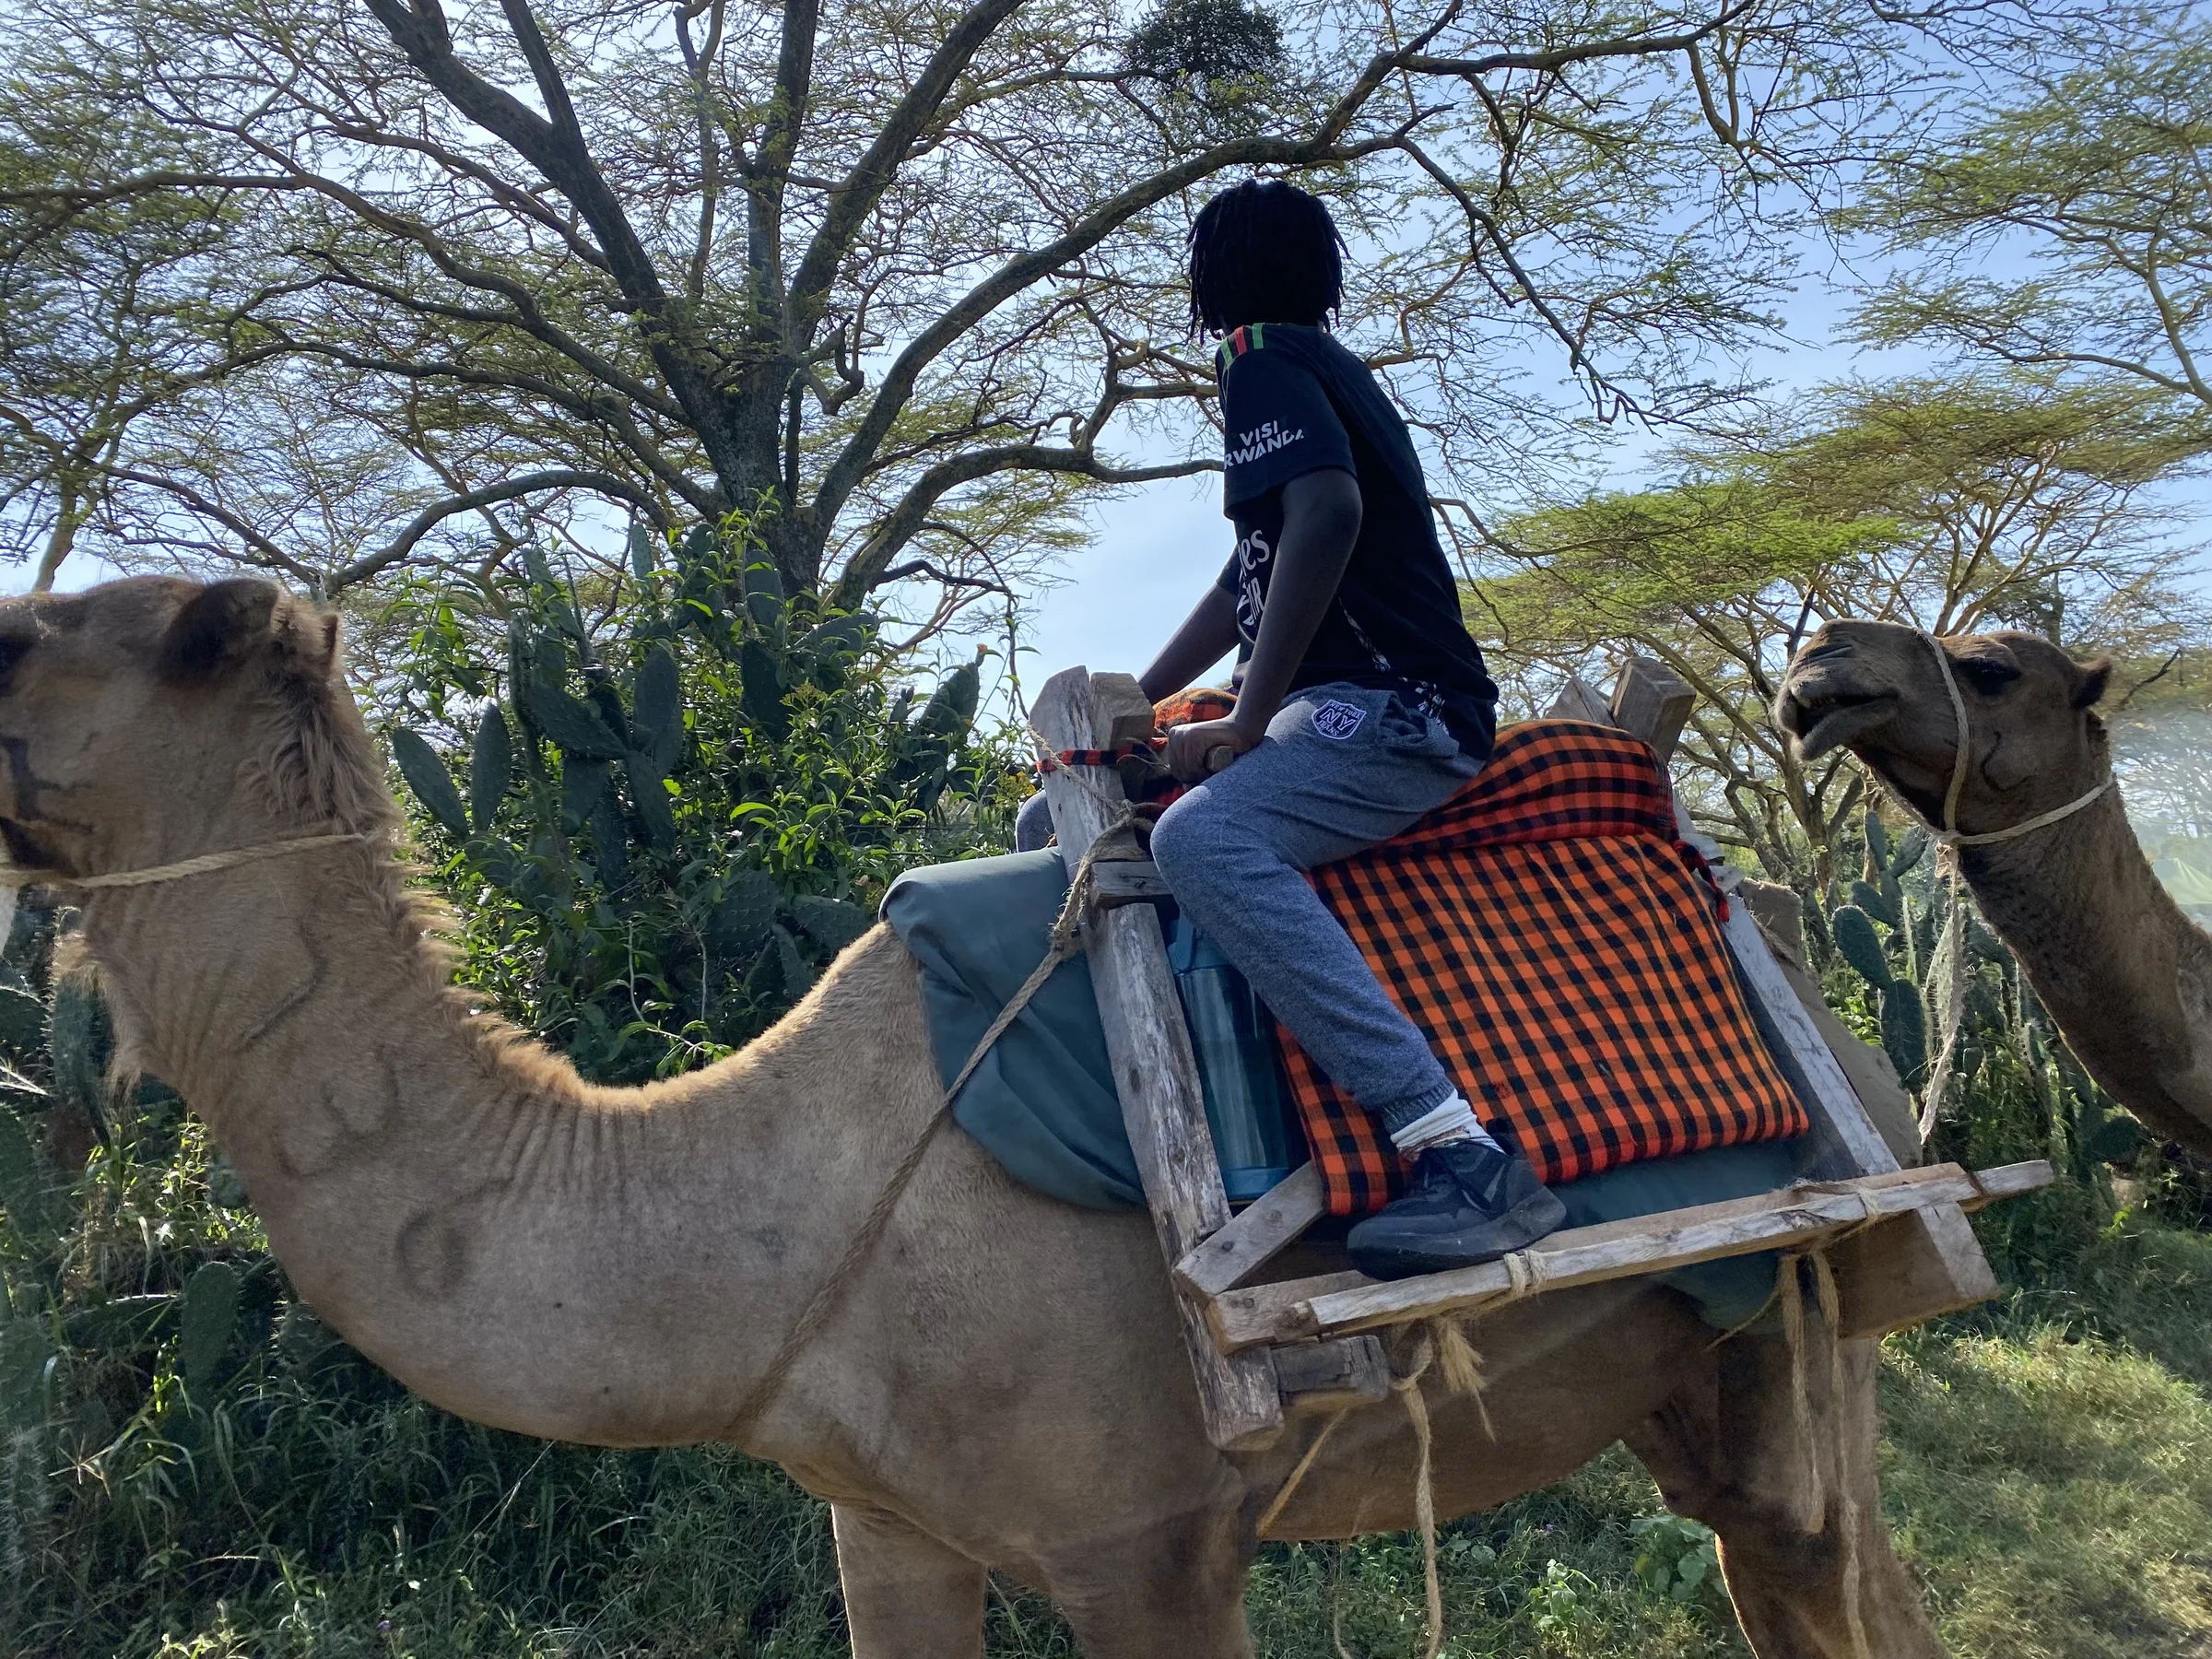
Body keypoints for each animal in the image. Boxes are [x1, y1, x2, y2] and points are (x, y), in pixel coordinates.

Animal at [0, 574, 1945, 1658]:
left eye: (62, 633)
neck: (771, 1205)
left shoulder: (1148, 1549)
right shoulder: (887, 1530)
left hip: (1818, 1295)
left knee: (1832, 1577)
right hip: (1694, 1355)